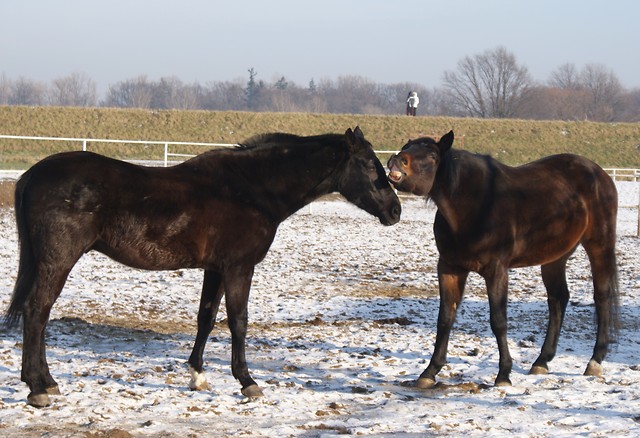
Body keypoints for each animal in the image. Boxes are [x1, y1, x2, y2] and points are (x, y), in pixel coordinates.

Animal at [5, 126, 402, 408]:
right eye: (370, 164)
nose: (395, 210)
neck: (251, 189)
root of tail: (32, 175)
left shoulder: (216, 269)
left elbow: (206, 318)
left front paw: (196, 375)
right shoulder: (239, 267)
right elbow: (238, 322)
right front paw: (248, 382)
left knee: (38, 313)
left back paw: (47, 383)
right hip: (58, 260)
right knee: (37, 312)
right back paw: (38, 388)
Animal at [388, 129, 616, 386]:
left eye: (432, 156)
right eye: (407, 147)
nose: (397, 160)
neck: (476, 205)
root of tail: (599, 174)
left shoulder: (496, 270)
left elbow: (498, 321)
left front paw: (504, 374)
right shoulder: (449, 267)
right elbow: (445, 318)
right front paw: (429, 372)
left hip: (599, 244)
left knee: (602, 297)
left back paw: (595, 361)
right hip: (554, 258)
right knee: (558, 299)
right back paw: (541, 361)